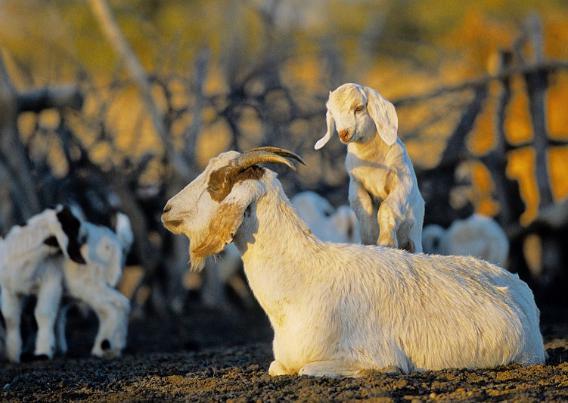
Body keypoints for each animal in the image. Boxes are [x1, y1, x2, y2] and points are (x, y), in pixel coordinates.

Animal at [0, 205, 86, 362]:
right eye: (75, 223)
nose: (86, 236)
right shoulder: (9, 290)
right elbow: (11, 318)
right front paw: (13, 355)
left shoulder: (51, 283)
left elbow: (43, 314)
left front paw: (44, 352)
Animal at [161, 148, 544, 378]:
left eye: (216, 183)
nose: (166, 210)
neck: (301, 281)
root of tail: (519, 287)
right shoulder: (280, 361)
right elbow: (276, 368)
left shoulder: (376, 357)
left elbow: (308, 370)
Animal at [312, 82, 424, 252]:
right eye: (333, 113)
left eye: (359, 108)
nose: (343, 133)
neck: (372, 159)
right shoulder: (356, 184)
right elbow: (364, 210)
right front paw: (369, 242)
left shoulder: (403, 180)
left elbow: (387, 207)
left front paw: (386, 242)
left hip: (416, 239)